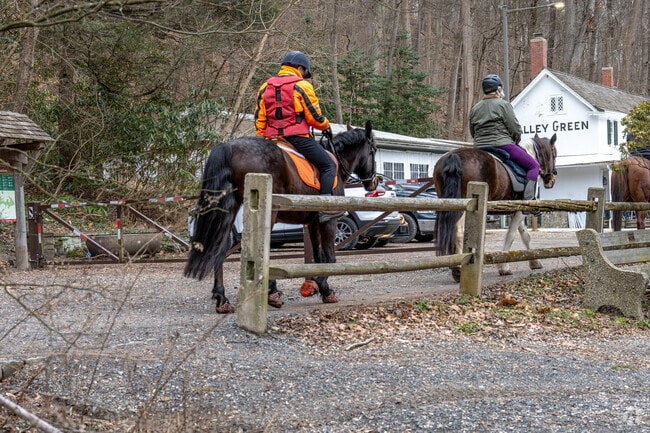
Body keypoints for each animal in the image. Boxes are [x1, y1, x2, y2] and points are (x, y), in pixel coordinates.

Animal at [184, 121, 378, 313]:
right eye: (373, 150)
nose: (373, 182)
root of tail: (229, 147)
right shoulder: (329, 220)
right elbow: (329, 258)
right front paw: (320, 287)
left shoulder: (313, 222)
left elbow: (318, 257)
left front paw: (320, 287)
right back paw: (271, 294)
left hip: (230, 210)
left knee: (220, 247)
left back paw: (222, 299)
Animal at [433, 133, 558, 281]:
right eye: (554, 154)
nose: (552, 180)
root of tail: (454, 155)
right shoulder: (521, 210)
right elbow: (511, 235)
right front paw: (504, 267)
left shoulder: (515, 210)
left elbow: (525, 235)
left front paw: (535, 262)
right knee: (459, 231)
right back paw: (458, 269)